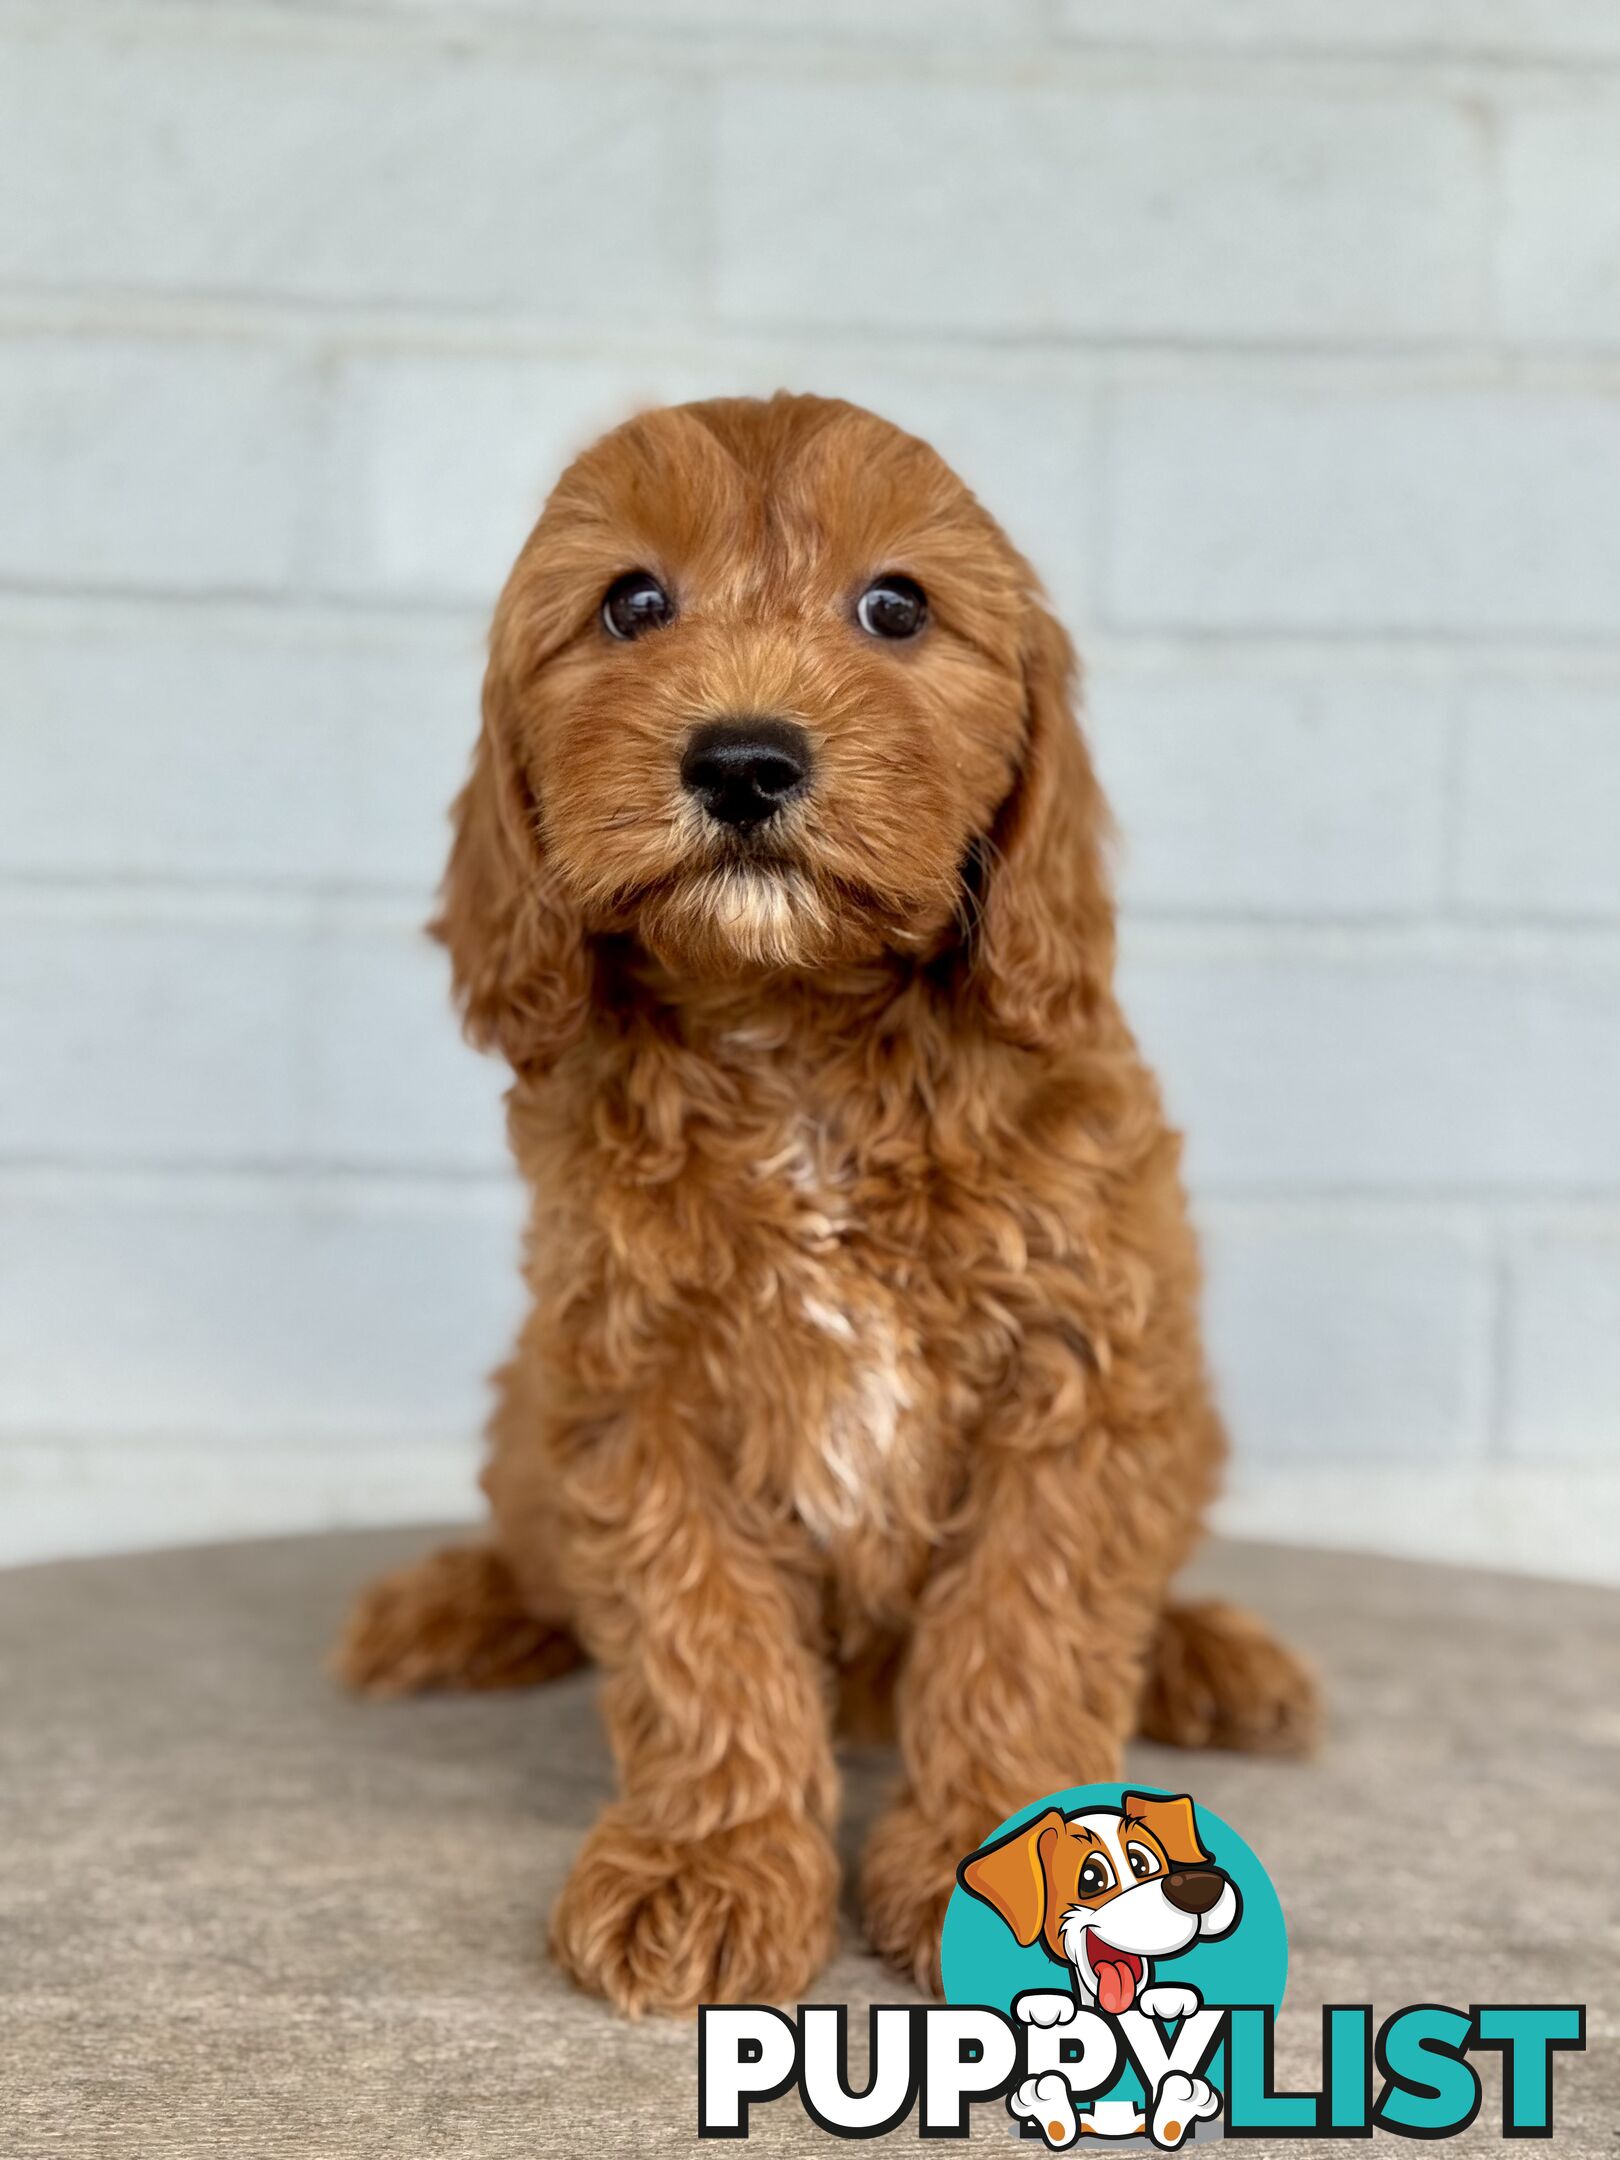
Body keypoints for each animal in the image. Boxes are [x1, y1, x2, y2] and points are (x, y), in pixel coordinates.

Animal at [332, 397, 1321, 2013]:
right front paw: (707, 1864)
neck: (795, 1037)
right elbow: (697, 1641)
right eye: (633, 604)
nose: (743, 760)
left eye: (896, 609)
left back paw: (1209, 1657)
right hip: (526, 1416)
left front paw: (1010, 1848)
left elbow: (1029, 1629)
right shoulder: (635, 1392)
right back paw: (454, 1607)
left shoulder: (1079, 1371)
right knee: (535, 1548)